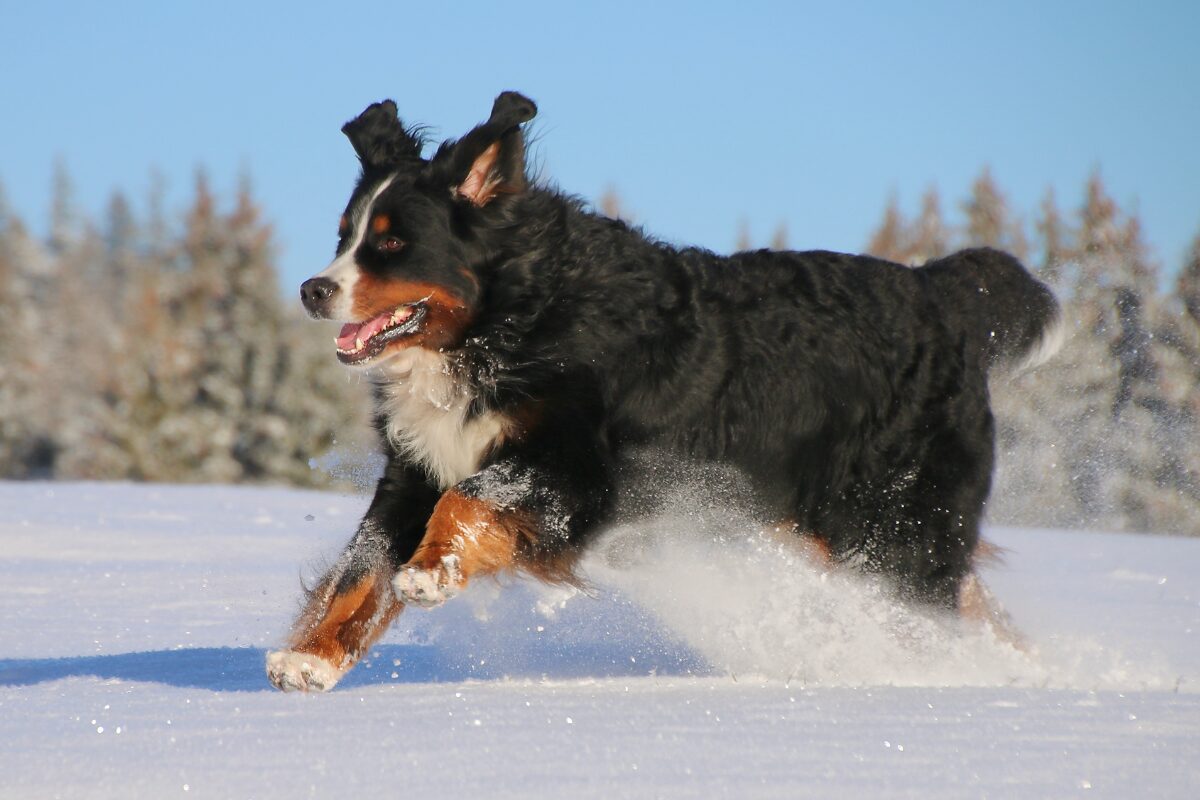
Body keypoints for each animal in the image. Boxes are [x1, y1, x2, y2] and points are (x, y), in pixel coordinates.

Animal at [265, 90, 1060, 690]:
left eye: (393, 243)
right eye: (344, 235)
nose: (312, 289)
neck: (511, 320)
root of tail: (940, 295)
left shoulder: (579, 468)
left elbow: (471, 498)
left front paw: (433, 572)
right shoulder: (415, 467)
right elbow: (361, 568)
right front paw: (313, 656)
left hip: (894, 529)